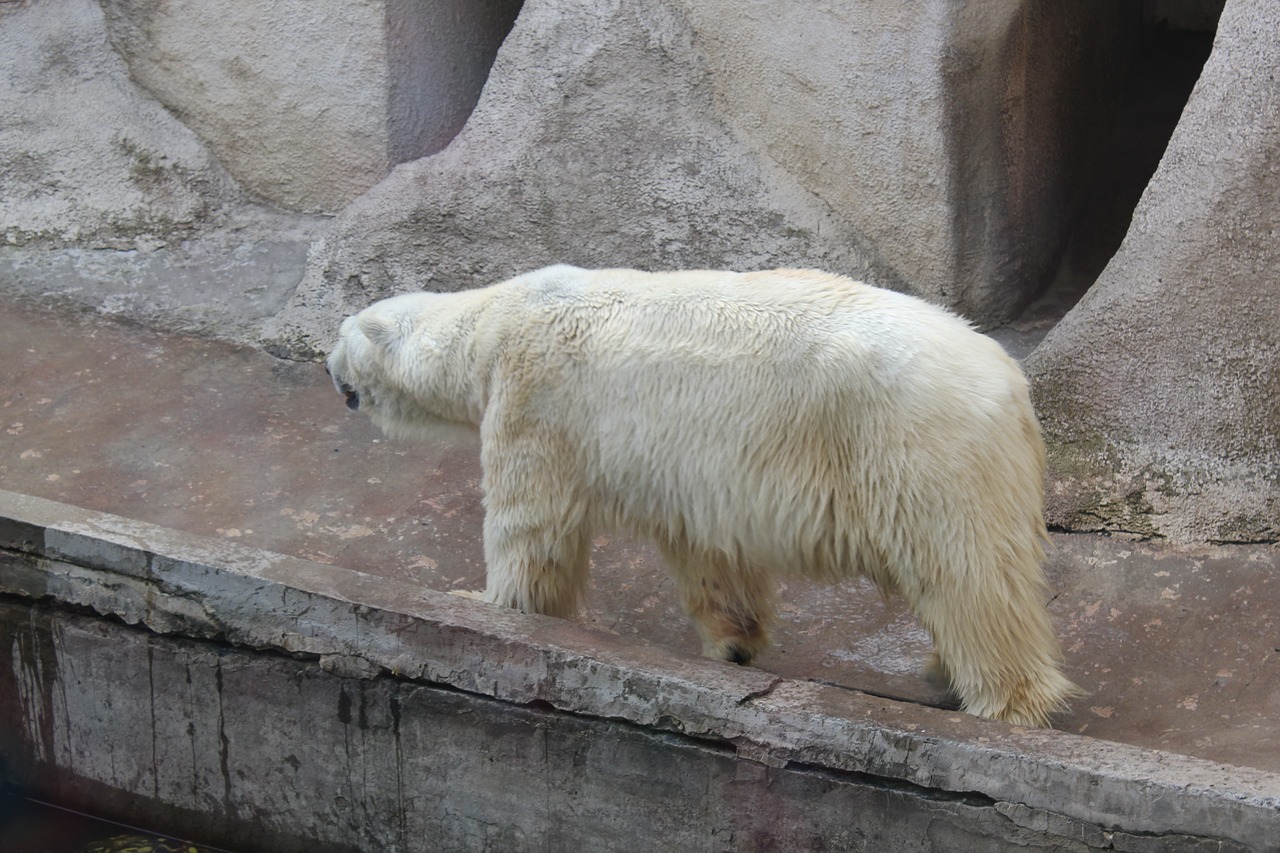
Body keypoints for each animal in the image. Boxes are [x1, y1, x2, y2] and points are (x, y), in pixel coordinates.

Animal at [330, 262, 1080, 722]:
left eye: (340, 335)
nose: (329, 366)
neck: (495, 318)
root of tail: (1009, 382)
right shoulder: (691, 470)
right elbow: (706, 551)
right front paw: (734, 644)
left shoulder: (535, 400)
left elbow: (531, 528)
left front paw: (482, 604)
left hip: (916, 447)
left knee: (966, 573)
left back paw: (1002, 699)